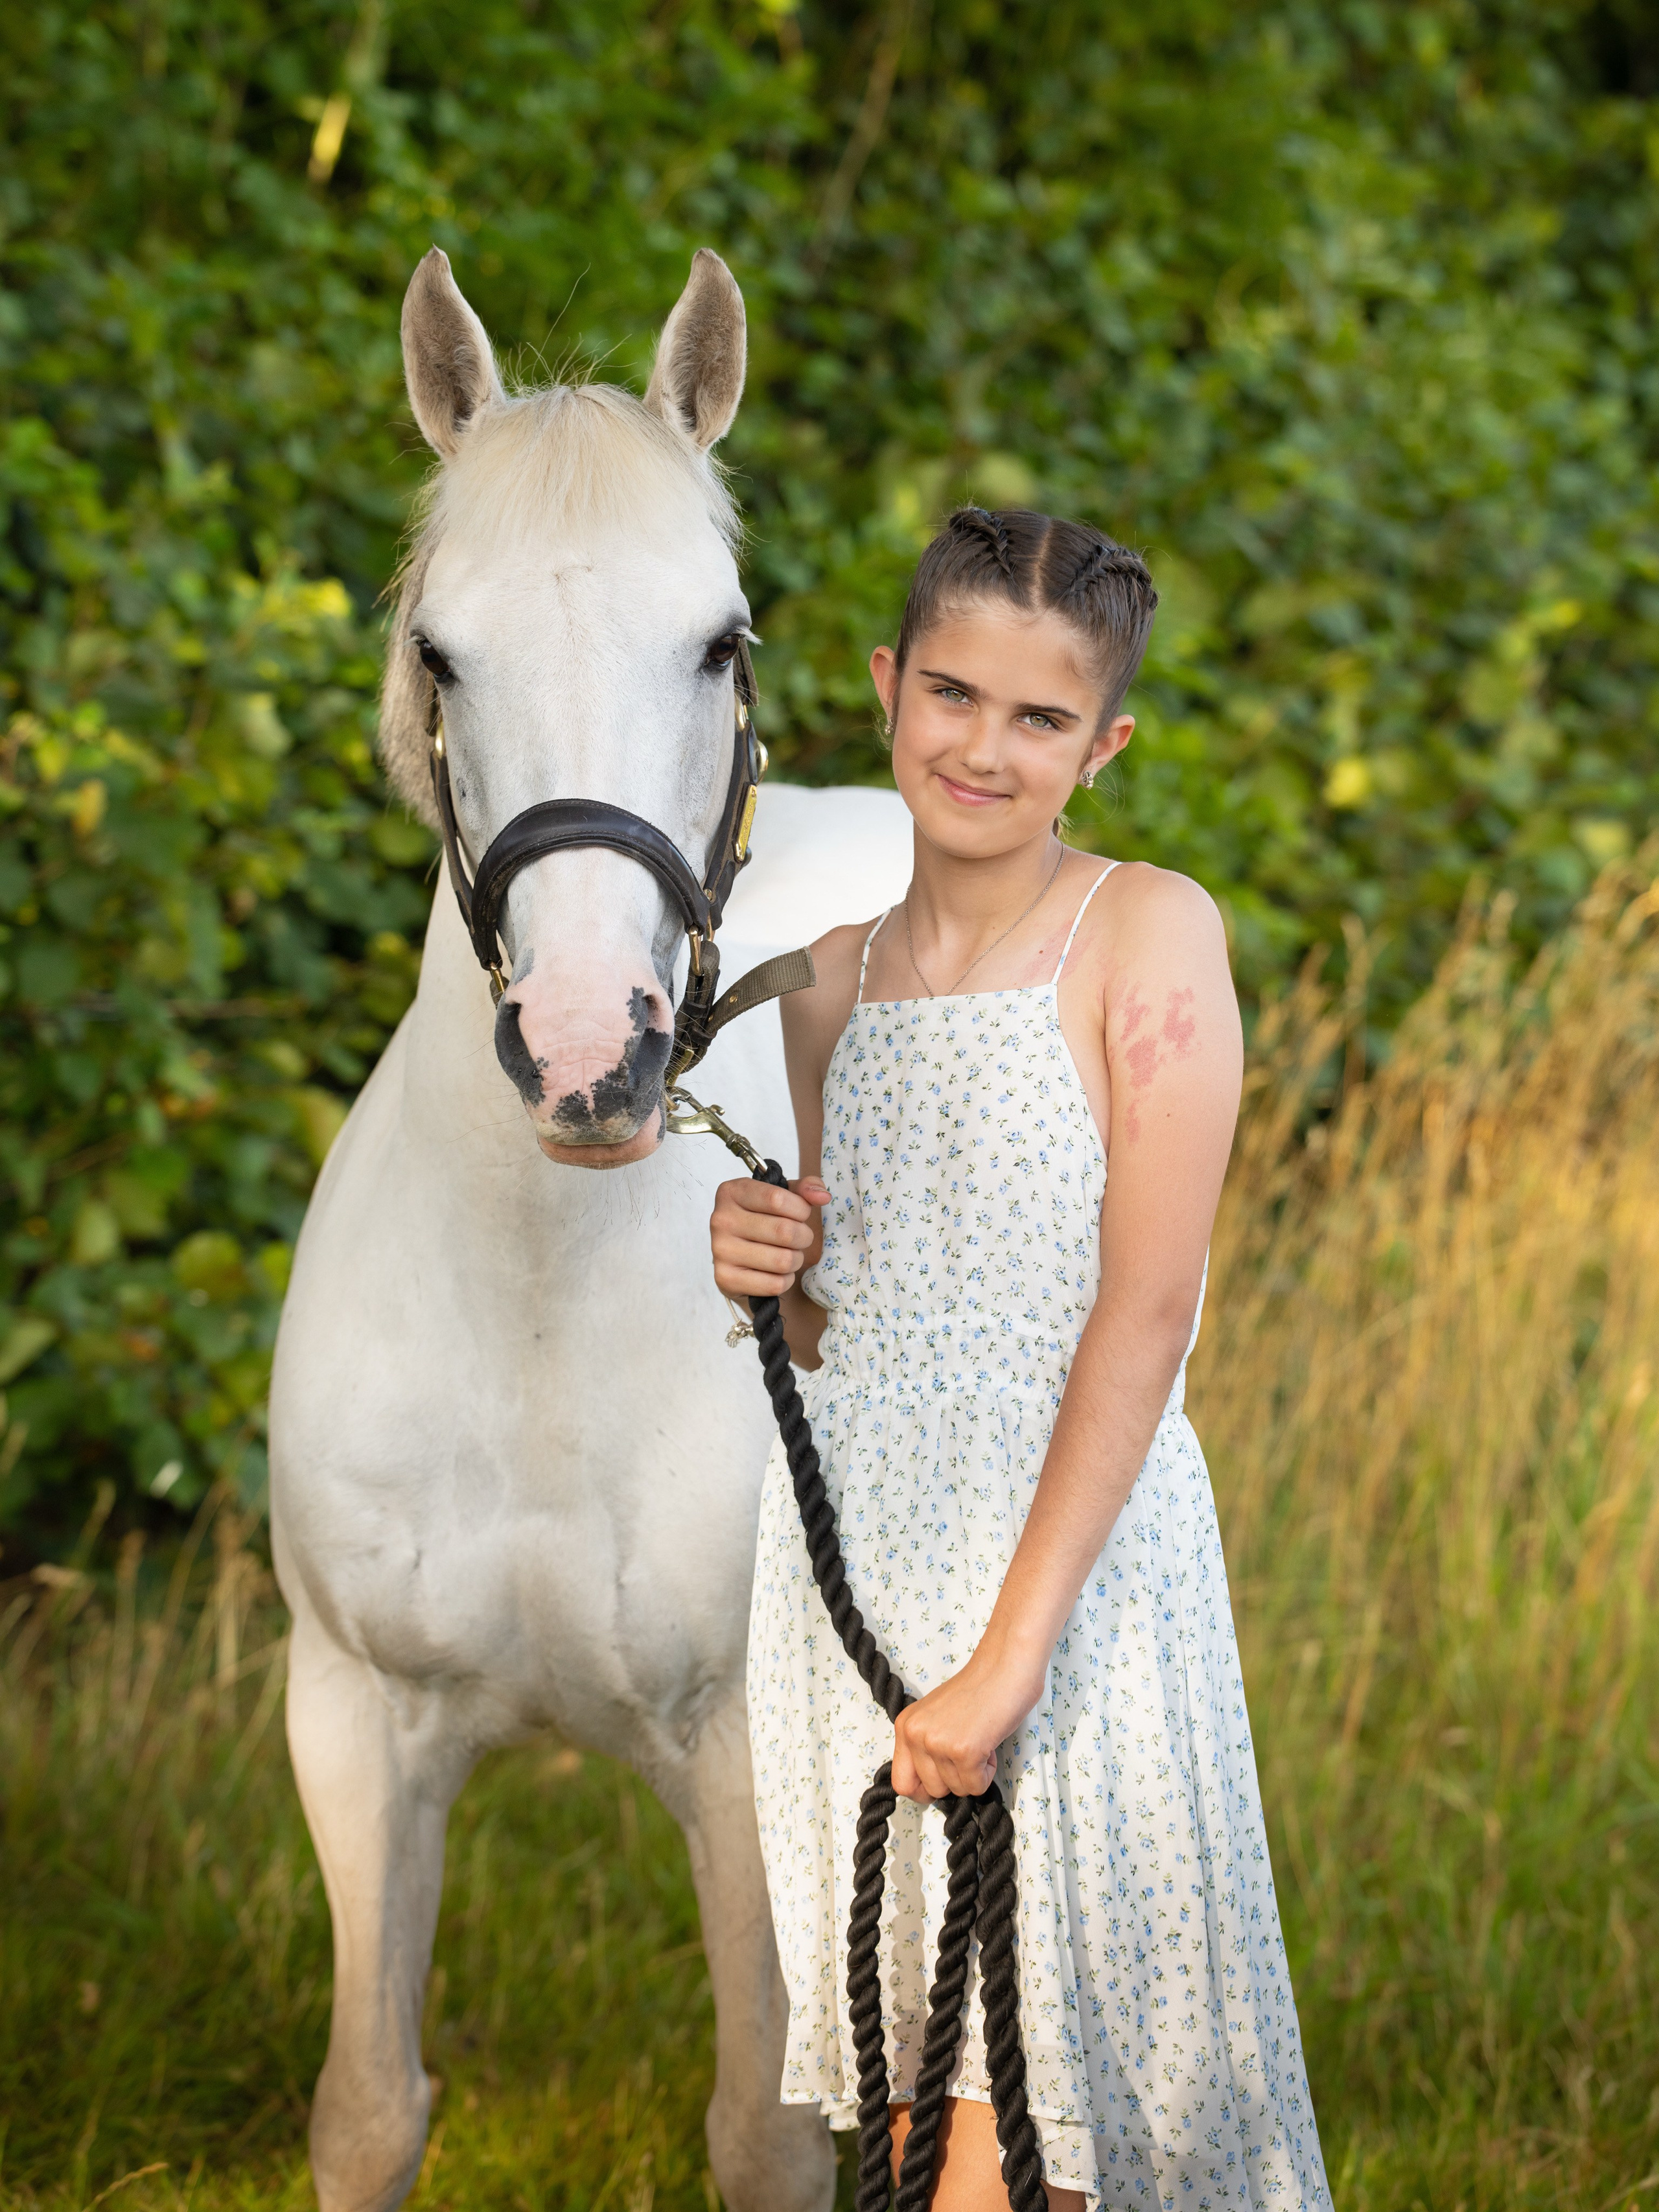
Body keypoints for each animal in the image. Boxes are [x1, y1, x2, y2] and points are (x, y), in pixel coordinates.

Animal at [268, 245, 911, 2212]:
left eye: (722, 639)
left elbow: (768, 2129)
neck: (540, 1305)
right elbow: (369, 2104)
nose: (584, 1051)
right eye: (437, 650)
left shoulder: (747, 1759)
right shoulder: (356, 1726)